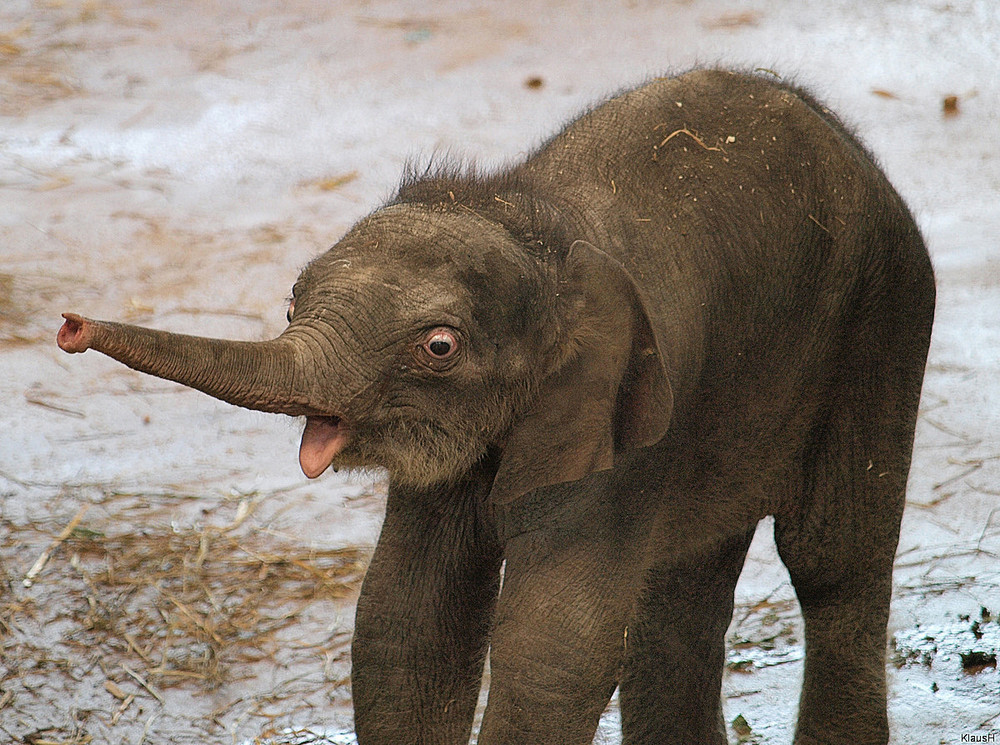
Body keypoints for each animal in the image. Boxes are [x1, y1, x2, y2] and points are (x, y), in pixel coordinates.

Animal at [58, 70, 932, 744]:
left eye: (439, 346)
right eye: (290, 302)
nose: (69, 325)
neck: (535, 226)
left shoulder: (616, 425)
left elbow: (554, 644)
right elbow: (408, 621)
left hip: (883, 318)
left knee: (829, 558)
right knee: (682, 588)